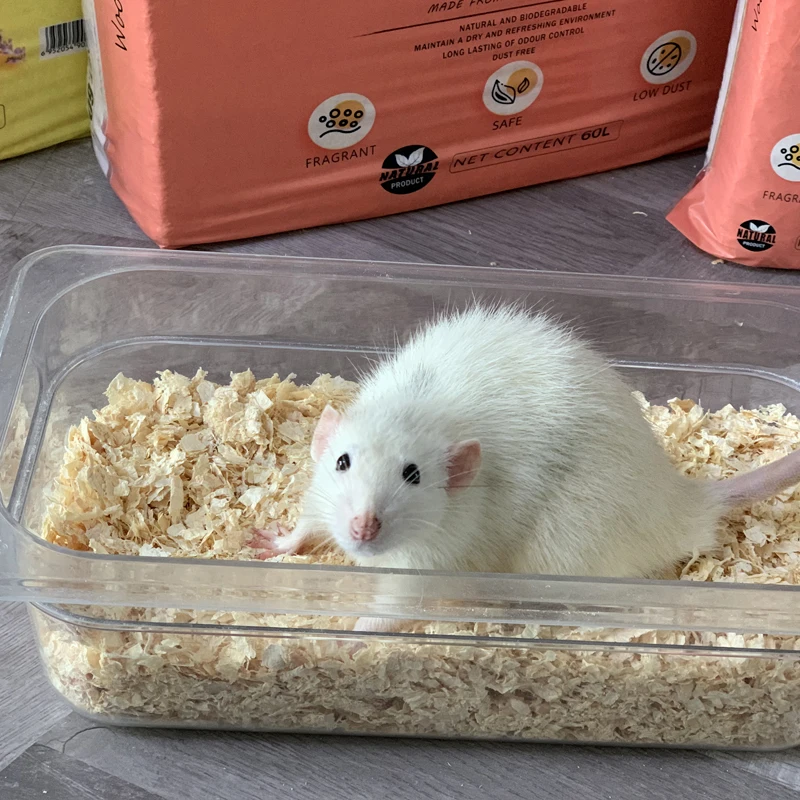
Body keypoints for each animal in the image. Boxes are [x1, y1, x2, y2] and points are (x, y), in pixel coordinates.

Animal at [253, 305, 800, 629]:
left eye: (414, 475)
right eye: (342, 461)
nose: (362, 527)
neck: (417, 410)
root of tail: (678, 503)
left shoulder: (432, 557)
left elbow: (397, 608)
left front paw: (351, 632)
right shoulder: (321, 498)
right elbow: (306, 524)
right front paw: (277, 543)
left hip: (565, 550)